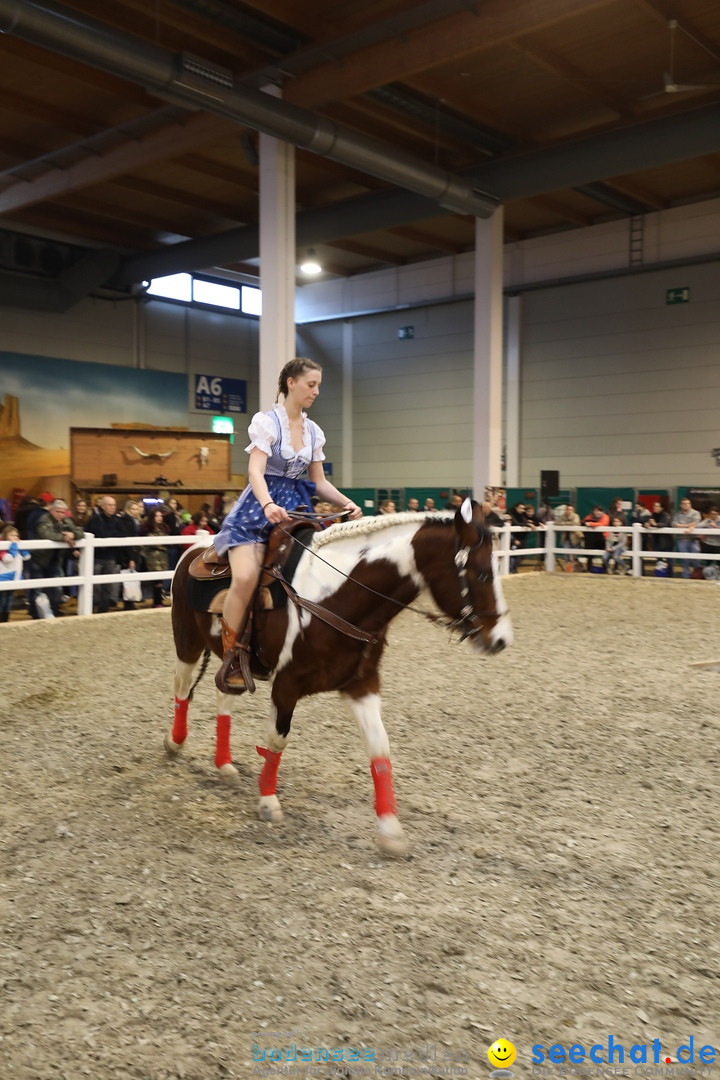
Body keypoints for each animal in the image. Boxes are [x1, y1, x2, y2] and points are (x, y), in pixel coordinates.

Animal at [167, 494, 511, 855]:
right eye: (482, 574)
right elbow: (277, 739)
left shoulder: (362, 684)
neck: (333, 599)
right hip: (187, 641)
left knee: (223, 697)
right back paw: (174, 742)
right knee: (182, 687)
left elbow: (379, 747)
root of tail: (196, 548)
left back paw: (224, 765)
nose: (501, 639)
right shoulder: (286, 684)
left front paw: (390, 829)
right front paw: (268, 800)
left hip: (229, 660)